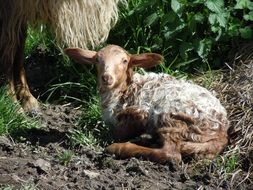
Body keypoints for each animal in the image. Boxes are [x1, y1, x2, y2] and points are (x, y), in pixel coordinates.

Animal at [64, 44, 229, 163]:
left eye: (124, 61)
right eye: (97, 60)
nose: (107, 78)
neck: (124, 90)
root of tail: (221, 132)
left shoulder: (142, 111)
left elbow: (119, 131)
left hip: (174, 116)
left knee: (171, 153)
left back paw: (119, 148)